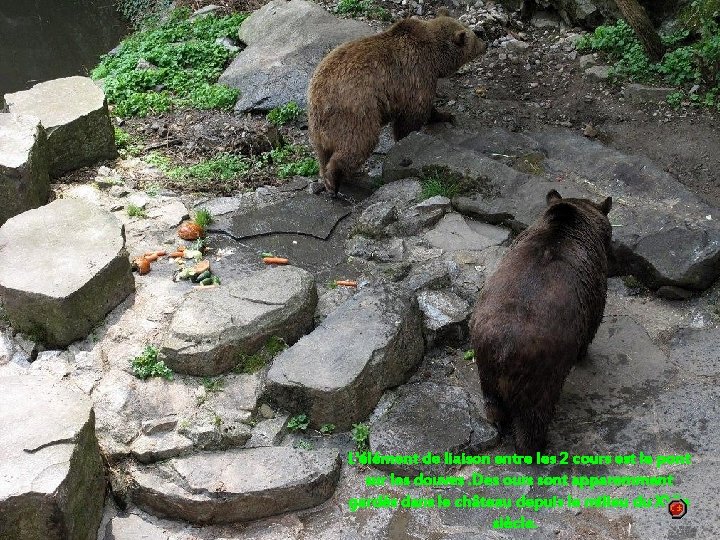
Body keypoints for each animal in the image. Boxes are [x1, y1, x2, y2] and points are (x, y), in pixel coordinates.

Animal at [306, 10, 486, 194]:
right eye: (473, 37)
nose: (485, 44)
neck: (435, 58)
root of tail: (320, 100)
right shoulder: (416, 76)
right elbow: (413, 115)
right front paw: (407, 138)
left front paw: (445, 115)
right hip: (355, 111)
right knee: (358, 143)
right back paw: (334, 181)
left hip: (318, 125)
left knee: (323, 153)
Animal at [470, 190, 616, 452]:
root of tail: (505, 349)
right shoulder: (595, 287)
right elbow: (593, 322)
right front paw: (584, 353)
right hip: (542, 370)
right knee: (534, 414)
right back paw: (537, 445)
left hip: (485, 356)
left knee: (493, 400)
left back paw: (497, 421)